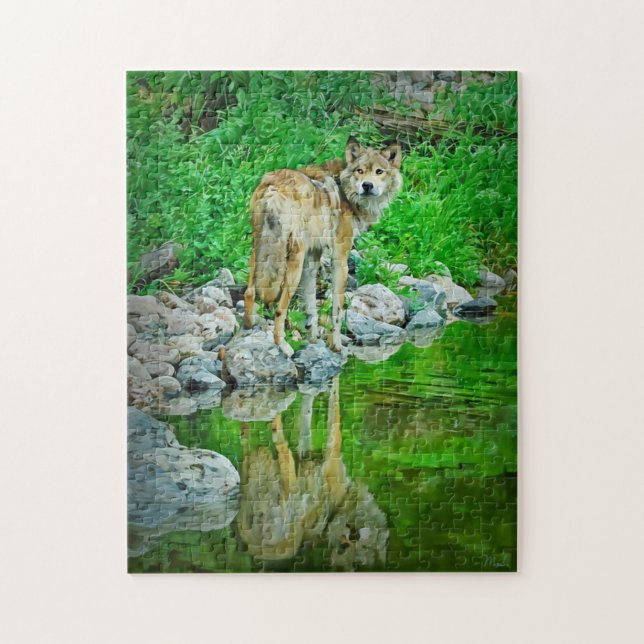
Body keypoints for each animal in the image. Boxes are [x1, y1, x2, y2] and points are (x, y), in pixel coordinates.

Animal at [243, 136, 403, 355]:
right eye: (360, 171)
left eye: (379, 171)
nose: (367, 186)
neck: (346, 192)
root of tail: (274, 187)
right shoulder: (340, 259)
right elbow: (338, 307)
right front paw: (336, 345)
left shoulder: (313, 257)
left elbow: (311, 307)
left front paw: (313, 340)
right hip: (294, 262)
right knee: (279, 309)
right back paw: (283, 346)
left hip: (258, 250)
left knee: (249, 292)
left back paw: (250, 328)